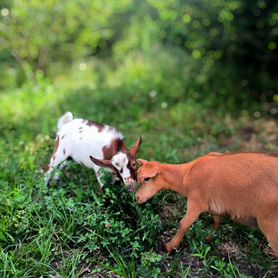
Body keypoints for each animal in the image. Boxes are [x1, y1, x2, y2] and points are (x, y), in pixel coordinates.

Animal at [135, 153, 278, 255]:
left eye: (147, 179)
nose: (136, 197)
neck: (185, 176)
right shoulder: (214, 207)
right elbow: (216, 222)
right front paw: (209, 239)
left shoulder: (196, 202)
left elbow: (184, 223)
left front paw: (170, 247)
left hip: (271, 225)